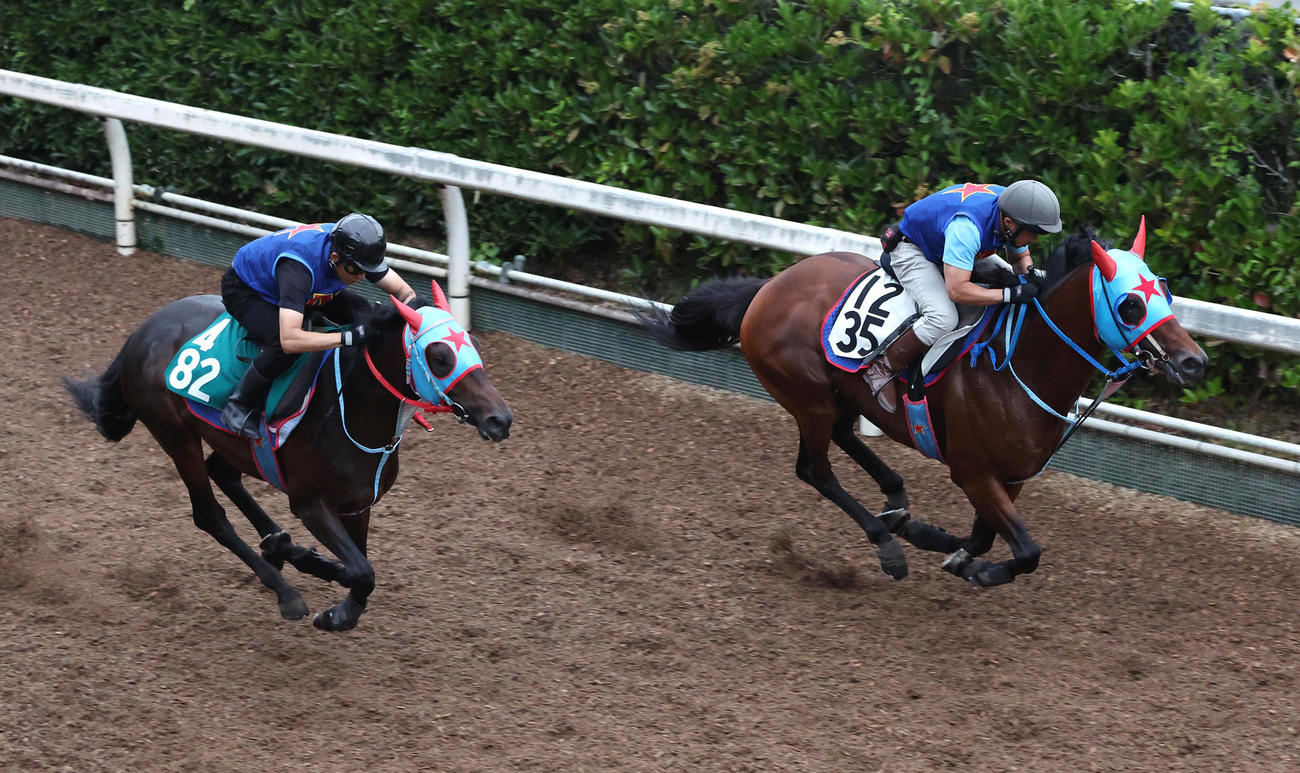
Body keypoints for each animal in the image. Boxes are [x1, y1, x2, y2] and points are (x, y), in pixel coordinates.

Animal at [64, 281, 513, 631]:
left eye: (472, 345)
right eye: (439, 356)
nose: (500, 419)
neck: (349, 407)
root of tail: (140, 333)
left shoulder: (358, 504)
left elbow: (362, 568)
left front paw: (328, 589)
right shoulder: (310, 503)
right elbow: (361, 570)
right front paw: (333, 609)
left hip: (234, 442)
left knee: (223, 473)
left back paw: (283, 546)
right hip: (175, 434)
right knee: (209, 514)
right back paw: (285, 588)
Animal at [641, 220, 1208, 587]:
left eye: (1164, 291)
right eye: (1129, 304)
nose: (1193, 361)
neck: (1016, 366)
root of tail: (768, 288)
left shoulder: (1013, 476)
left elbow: (985, 536)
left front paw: (943, 545)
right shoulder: (973, 472)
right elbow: (1026, 551)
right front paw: (973, 567)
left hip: (840, 394)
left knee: (846, 437)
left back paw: (895, 501)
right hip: (807, 397)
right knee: (814, 469)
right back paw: (887, 544)